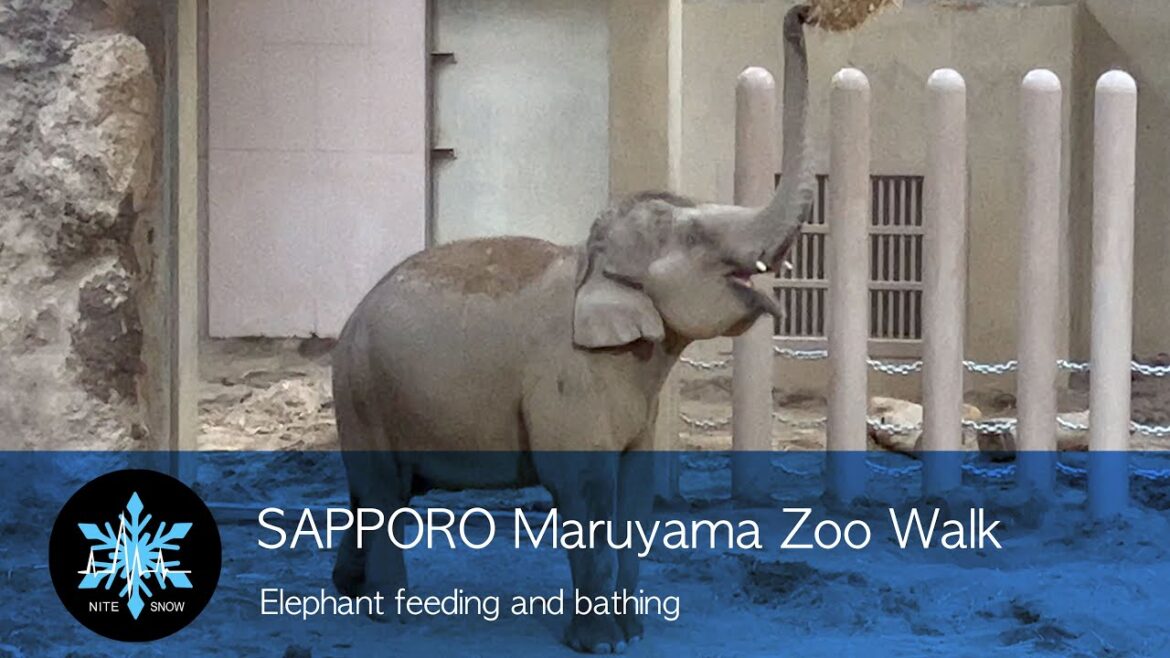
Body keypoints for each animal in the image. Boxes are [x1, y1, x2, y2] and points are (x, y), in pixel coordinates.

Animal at [331, 4, 815, 654]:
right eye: (696, 239)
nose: (802, 12)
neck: (591, 263)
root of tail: (350, 318)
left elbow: (634, 491)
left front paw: (634, 632)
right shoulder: (572, 379)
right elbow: (584, 489)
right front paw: (600, 642)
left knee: (377, 493)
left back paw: (351, 594)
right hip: (363, 392)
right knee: (383, 493)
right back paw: (393, 613)